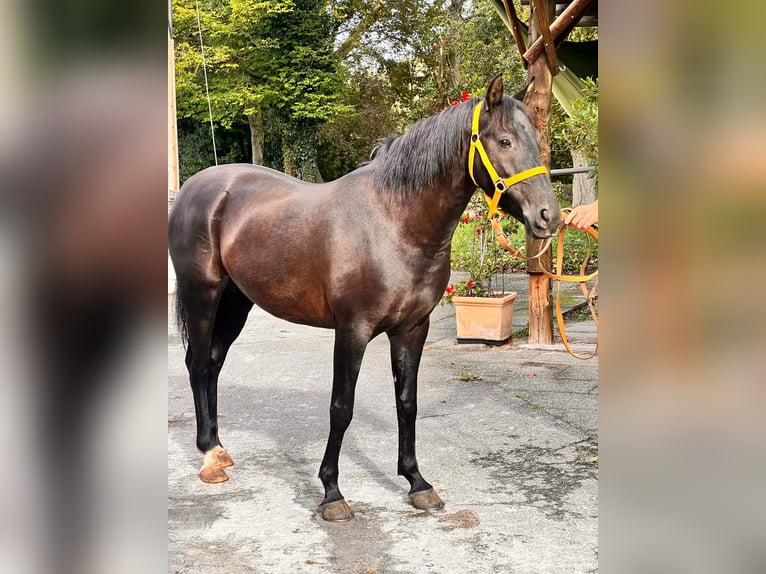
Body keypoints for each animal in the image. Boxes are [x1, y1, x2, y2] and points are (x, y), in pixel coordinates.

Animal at [170, 75, 564, 520]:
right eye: (504, 140)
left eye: (535, 138)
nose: (549, 216)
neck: (394, 223)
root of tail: (196, 186)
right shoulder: (352, 331)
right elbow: (341, 408)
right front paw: (332, 492)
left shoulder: (412, 329)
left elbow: (407, 403)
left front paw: (417, 482)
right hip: (202, 294)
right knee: (198, 364)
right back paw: (208, 458)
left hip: (236, 302)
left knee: (214, 363)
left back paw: (219, 449)